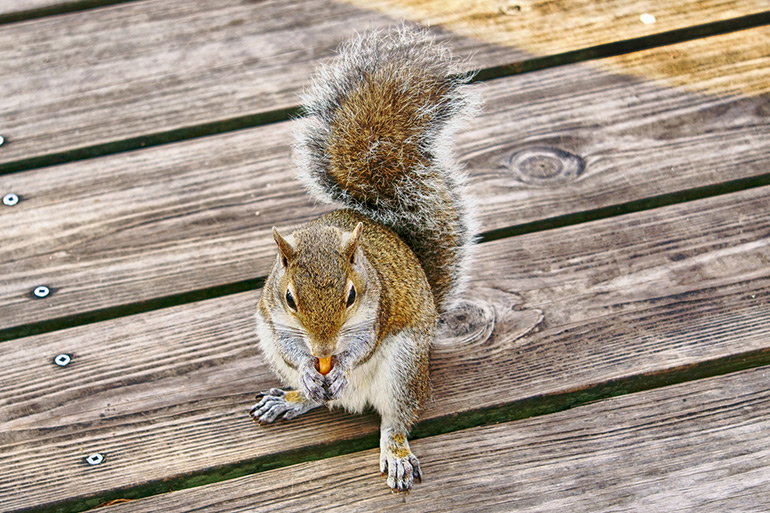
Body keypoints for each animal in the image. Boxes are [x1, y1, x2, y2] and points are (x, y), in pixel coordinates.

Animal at [252, 26, 476, 490]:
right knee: (319, 399)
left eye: (352, 295)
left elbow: (361, 346)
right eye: (289, 298)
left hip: (404, 367)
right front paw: (310, 369)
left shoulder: (381, 307)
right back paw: (295, 396)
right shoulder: (272, 318)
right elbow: (291, 347)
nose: (323, 350)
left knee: (397, 418)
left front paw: (339, 365)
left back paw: (395, 450)